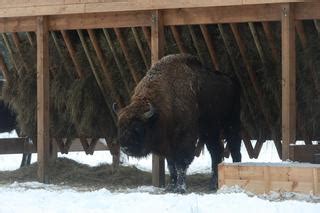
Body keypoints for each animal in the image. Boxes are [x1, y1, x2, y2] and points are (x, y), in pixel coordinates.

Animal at [116, 53, 241, 193]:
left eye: (137, 127)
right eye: (120, 126)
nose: (125, 148)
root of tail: (232, 81)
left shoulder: (184, 139)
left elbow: (181, 163)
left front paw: (180, 188)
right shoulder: (168, 145)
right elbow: (171, 165)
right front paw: (171, 187)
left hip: (231, 123)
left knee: (234, 147)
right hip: (210, 130)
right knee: (216, 152)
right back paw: (213, 185)